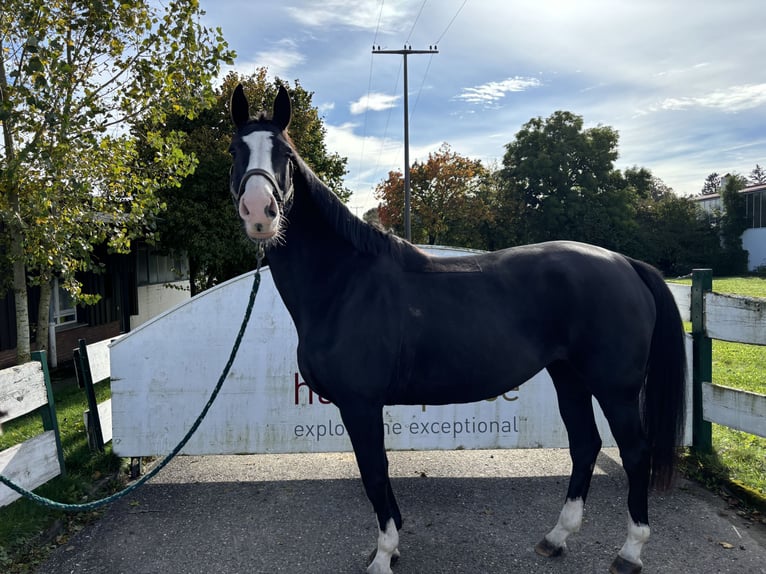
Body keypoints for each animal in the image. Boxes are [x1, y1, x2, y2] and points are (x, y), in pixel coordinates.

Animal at [228, 85, 688, 574]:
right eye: (236, 150)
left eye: (285, 155)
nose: (260, 212)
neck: (344, 282)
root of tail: (625, 263)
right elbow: (380, 474)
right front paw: (390, 546)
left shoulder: (360, 403)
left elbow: (374, 473)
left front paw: (384, 554)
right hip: (569, 377)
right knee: (585, 445)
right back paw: (557, 537)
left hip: (615, 387)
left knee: (634, 453)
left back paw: (630, 551)